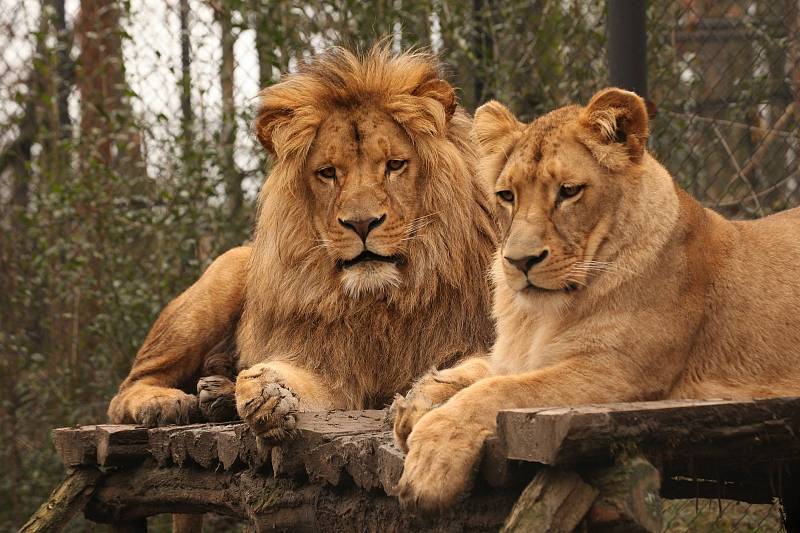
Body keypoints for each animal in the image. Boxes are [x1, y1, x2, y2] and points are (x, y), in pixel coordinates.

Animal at [105, 46, 494, 444]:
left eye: (395, 165)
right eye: (328, 173)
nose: (361, 223)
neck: (383, 301)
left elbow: (481, 370)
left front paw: (425, 396)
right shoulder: (332, 366)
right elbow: (287, 377)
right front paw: (265, 393)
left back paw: (216, 396)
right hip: (222, 276)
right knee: (125, 390)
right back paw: (169, 403)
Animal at [396, 87, 800, 512]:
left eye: (568, 191)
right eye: (506, 195)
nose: (519, 261)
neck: (541, 316)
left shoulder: (619, 371)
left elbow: (497, 390)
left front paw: (431, 459)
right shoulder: (519, 357)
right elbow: (474, 370)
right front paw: (416, 404)